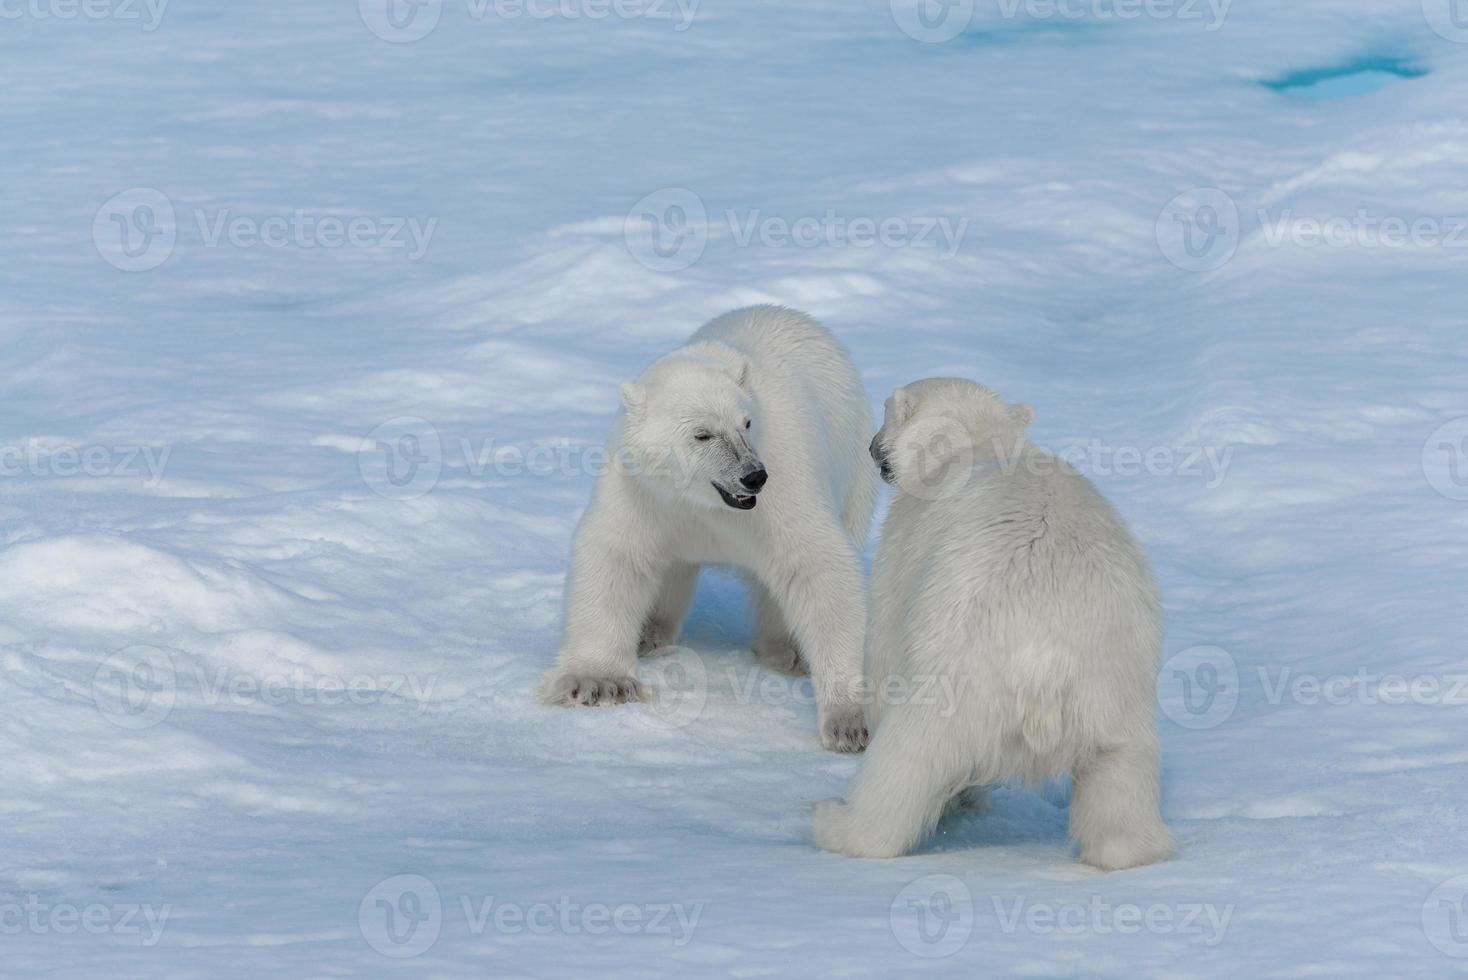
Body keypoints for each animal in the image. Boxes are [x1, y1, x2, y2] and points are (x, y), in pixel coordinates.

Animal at [543, 306, 874, 751]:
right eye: (702, 434)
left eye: (746, 423)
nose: (753, 477)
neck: (705, 501)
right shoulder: (643, 490)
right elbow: (618, 555)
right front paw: (598, 682)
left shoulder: (782, 478)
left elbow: (816, 563)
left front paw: (845, 721)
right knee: (671, 569)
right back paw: (652, 633)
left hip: (853, 464)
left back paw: (783, 649)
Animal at [816, 378, 1168, 868]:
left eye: (887, 411)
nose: (871, 447)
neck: (980, 442)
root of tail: (1045, 662)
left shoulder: (909, 541)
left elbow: (884, 640)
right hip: (1114, 684)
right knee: (1120, 776)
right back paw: (1130, 850)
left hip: (961, 671)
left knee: (910, 753)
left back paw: (836, 822)